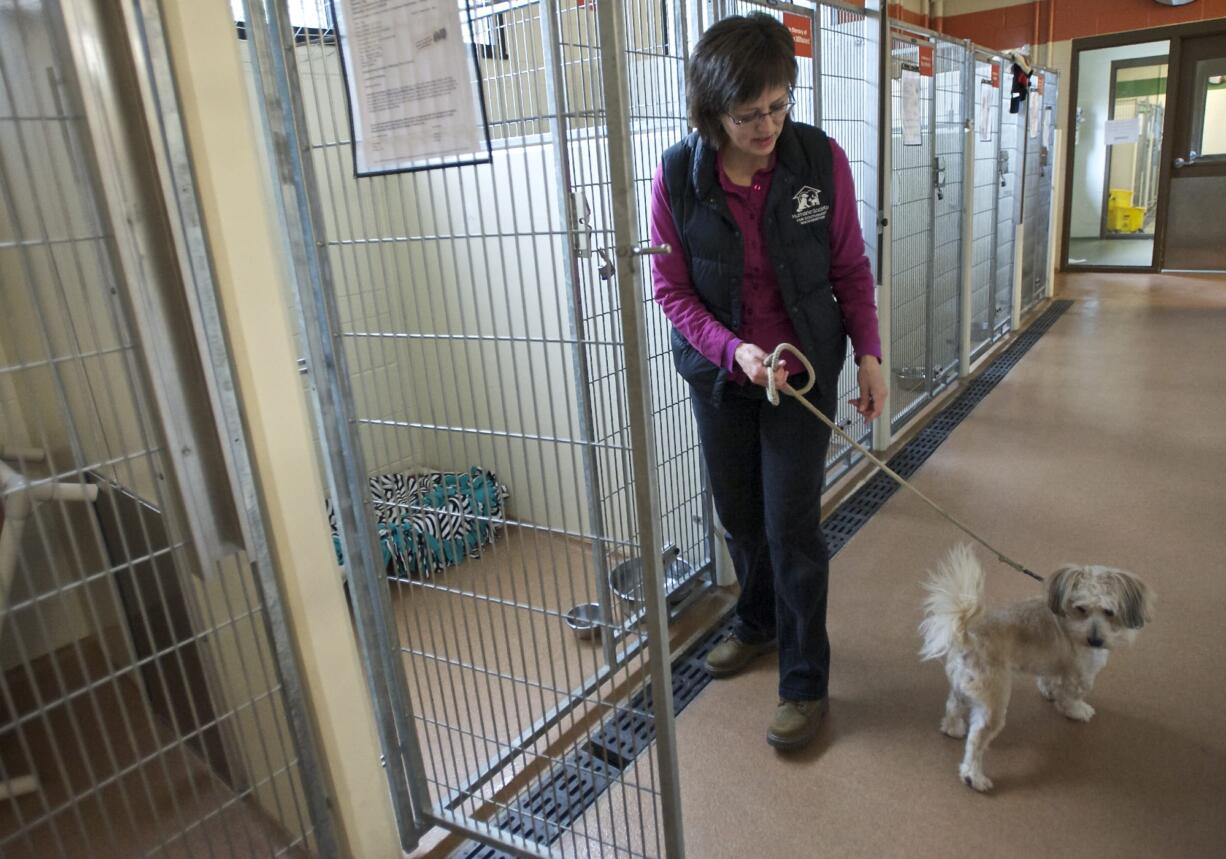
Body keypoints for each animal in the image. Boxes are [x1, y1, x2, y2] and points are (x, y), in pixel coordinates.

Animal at [921, 541, 1147, 789]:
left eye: (1109, 612)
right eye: (1081, 609)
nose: (1095, 640)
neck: (1069, 620)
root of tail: (967, 636)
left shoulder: (1054, 664)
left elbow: (1050, 680)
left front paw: (1049, 692)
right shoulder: (1080, 674)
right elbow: (1071, 697)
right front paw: (1077, 711)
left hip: (963, 687)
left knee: (952, 706)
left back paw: (953, 729)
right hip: (993, 705)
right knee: (976, 742)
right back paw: (975, 777)